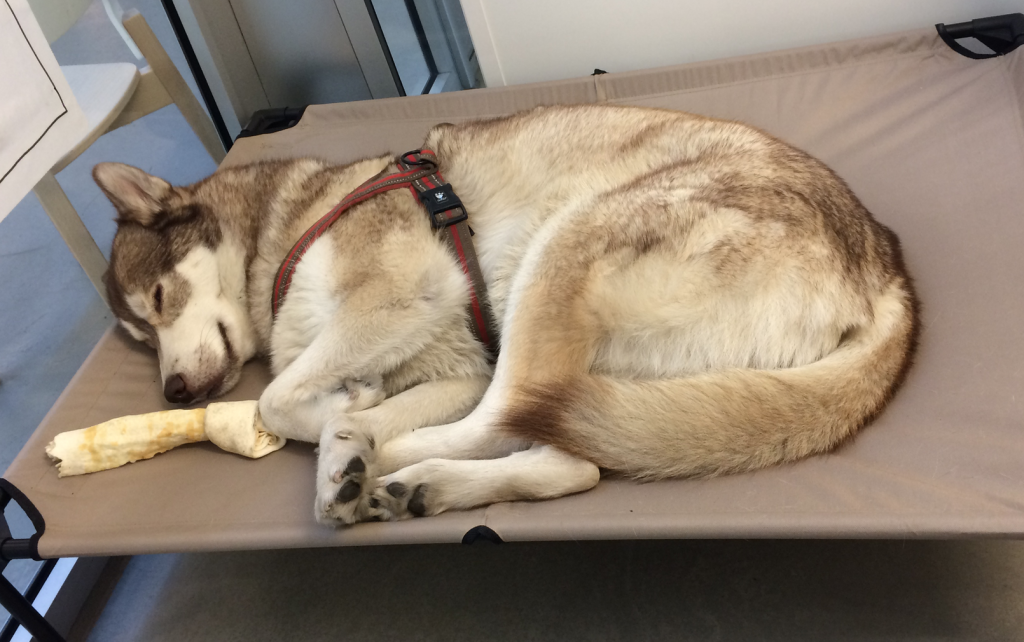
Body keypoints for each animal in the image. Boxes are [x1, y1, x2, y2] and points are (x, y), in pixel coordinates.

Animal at [92, 105, 917, 524]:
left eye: (158, 302)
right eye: (137, 335)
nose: (174, 394)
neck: (288, 225)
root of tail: (887, 268)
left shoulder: (403, 298)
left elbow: (276, 398)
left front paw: (343, 425)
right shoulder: (453, 365)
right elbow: (310, 395)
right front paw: (351, 412)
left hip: (567, 243)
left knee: (505, 413)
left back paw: (371, 463)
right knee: (576, 457)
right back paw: (419, 485)